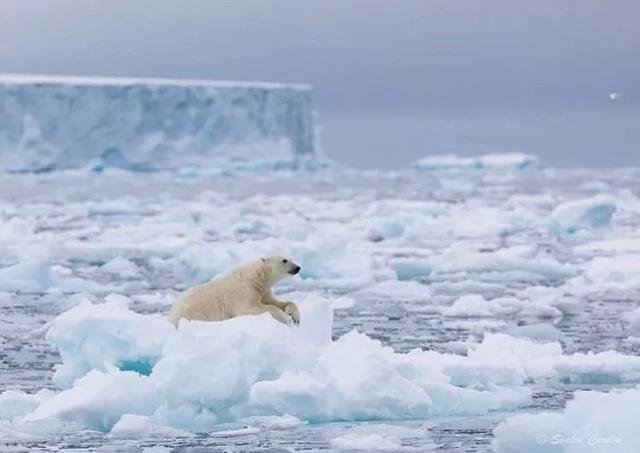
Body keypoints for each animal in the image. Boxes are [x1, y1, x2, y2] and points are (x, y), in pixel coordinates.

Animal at [169, 256, 302, 326]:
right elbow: (251, 309)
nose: (298, 267)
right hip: (193, 313)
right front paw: (285, 318)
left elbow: (277, 302)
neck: (256, 277)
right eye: (284, 260)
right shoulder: (243, 293)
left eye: (290, 258)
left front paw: (295, 317)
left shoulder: (262, 291)